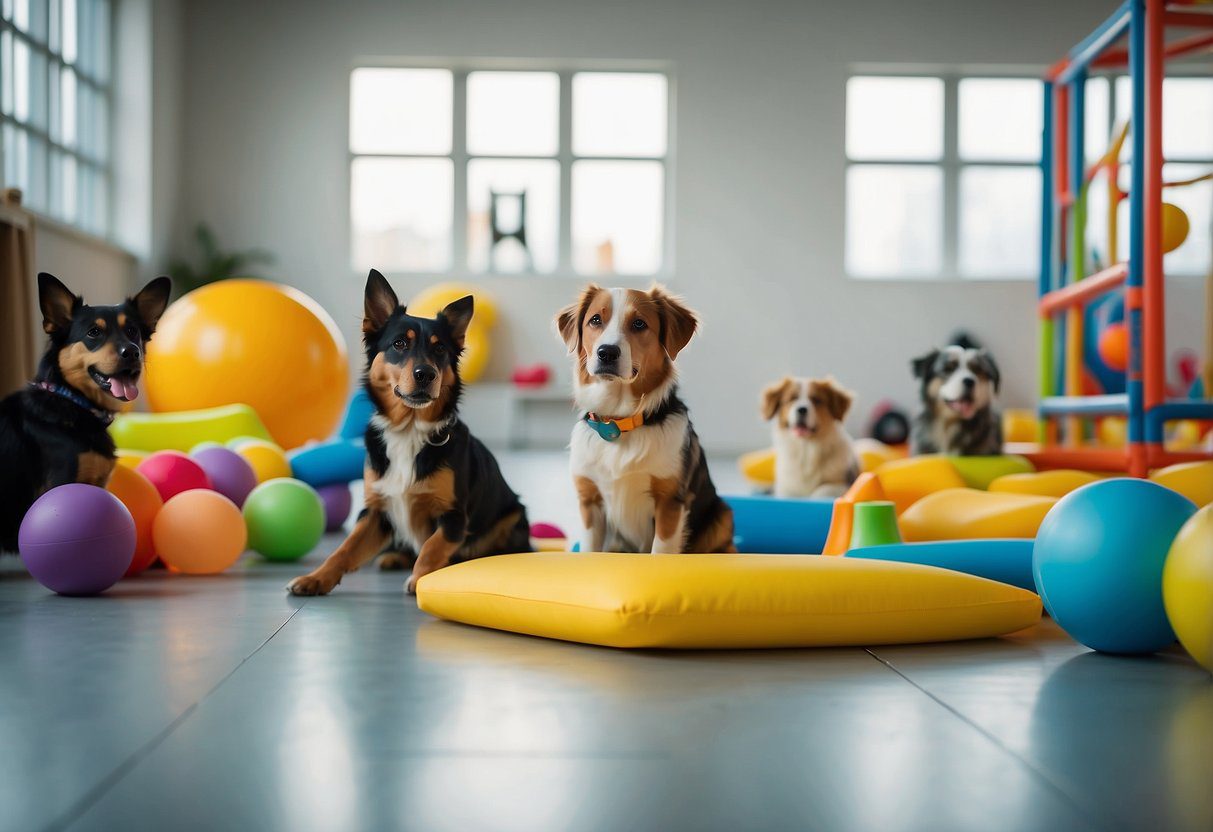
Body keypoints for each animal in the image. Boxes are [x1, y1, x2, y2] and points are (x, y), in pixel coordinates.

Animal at [288, 270, 531, 596]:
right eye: (400, 343)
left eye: (440, 349)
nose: (425, 374)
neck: (409, 429)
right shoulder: (375, 512)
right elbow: (343, 550)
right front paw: (315, 578)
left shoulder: (454, 517)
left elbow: (431, 547)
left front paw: (420, 580)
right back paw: (394, 557)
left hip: (514, 515)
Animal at [555, 285, 732, 553]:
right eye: (595, 320)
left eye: (639, 324)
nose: (607, 352)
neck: (619, 422)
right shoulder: (590, 502)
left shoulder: (669, 502)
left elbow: (660, 551)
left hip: (722, 515)